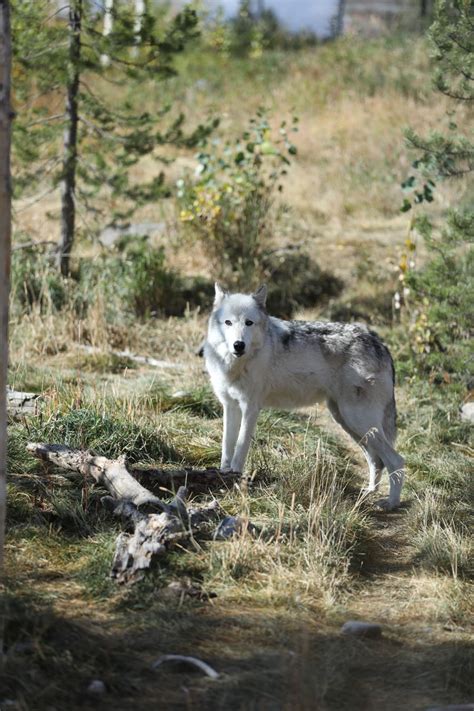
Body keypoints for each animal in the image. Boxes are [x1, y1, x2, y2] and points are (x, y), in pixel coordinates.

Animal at [203, 284, 404, 512]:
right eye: (228, 322)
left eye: (249, 323)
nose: (238, 345)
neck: (237, 365)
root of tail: (379, 342)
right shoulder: (230, 406)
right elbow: (226, 448)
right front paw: (224, 475)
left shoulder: (251, 408)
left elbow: (240, 449)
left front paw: (236, 481)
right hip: (349, 423)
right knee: (376, 460)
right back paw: (369, 491)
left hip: (358, 420)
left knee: (396, 460)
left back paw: (391, 503)